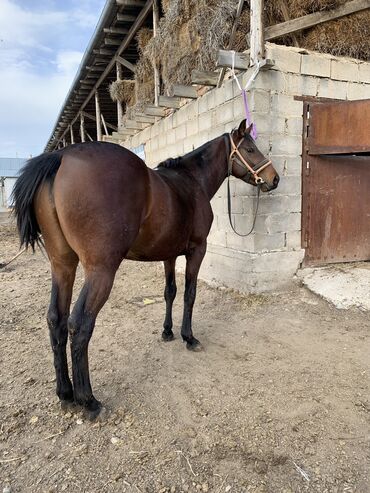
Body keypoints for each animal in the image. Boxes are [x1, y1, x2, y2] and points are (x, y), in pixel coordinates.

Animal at [13, 120, 278, 418]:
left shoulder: (169, 255)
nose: (274, 179)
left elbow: (170, 292)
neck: (191, 182)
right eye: (250, 149)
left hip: (62, 266)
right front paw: (189, 337)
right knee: (79, 325)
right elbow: (190, 294)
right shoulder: (197, 251)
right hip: (100, 271)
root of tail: (60, 157)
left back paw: (65, 393)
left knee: (55, 320)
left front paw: (168, 332)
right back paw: (88, 400)